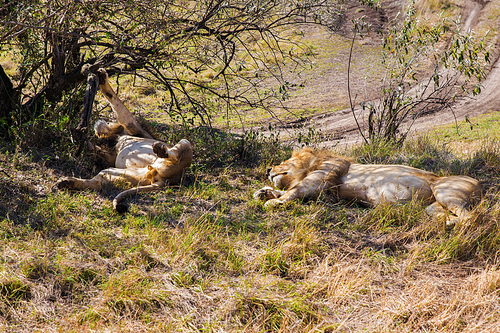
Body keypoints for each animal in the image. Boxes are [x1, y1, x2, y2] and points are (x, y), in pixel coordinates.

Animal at [256, 149, 482, 224]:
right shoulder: (323, 192)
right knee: (455, 217)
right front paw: (264, 192)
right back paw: (443, 224)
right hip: (432, 207)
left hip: (445, 191)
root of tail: (479, 184)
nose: (267, 169)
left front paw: (272, 202)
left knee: (471, 218)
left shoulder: (318, 180)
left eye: (283, 161)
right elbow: (285, 190)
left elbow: (291, 192)